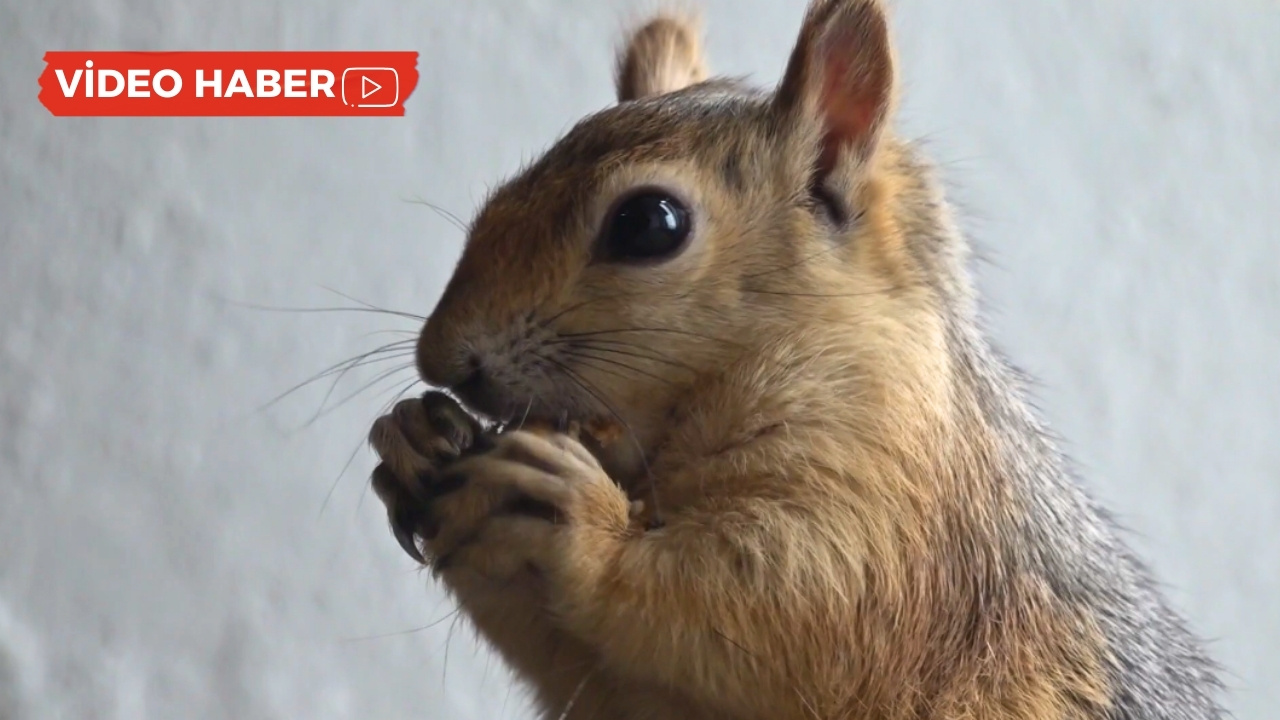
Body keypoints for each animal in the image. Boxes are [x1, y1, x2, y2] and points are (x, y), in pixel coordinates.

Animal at [366, 2, 1223, 712]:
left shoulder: (895, 517)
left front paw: (577, 519)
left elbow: (791, 607)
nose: (442, 360)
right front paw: (416, 437)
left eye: (650, 223)